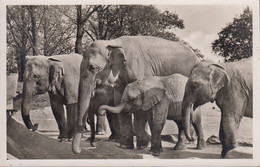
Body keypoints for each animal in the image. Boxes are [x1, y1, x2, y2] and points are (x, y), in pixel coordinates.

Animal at [72, 35, 200, 154]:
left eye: (93, 68)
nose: (80, 150)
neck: (113, 42)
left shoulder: (142, 71)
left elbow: (140, 109)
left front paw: (143, 145)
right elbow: (119, 100)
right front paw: (124, 146)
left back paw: (190, 141)